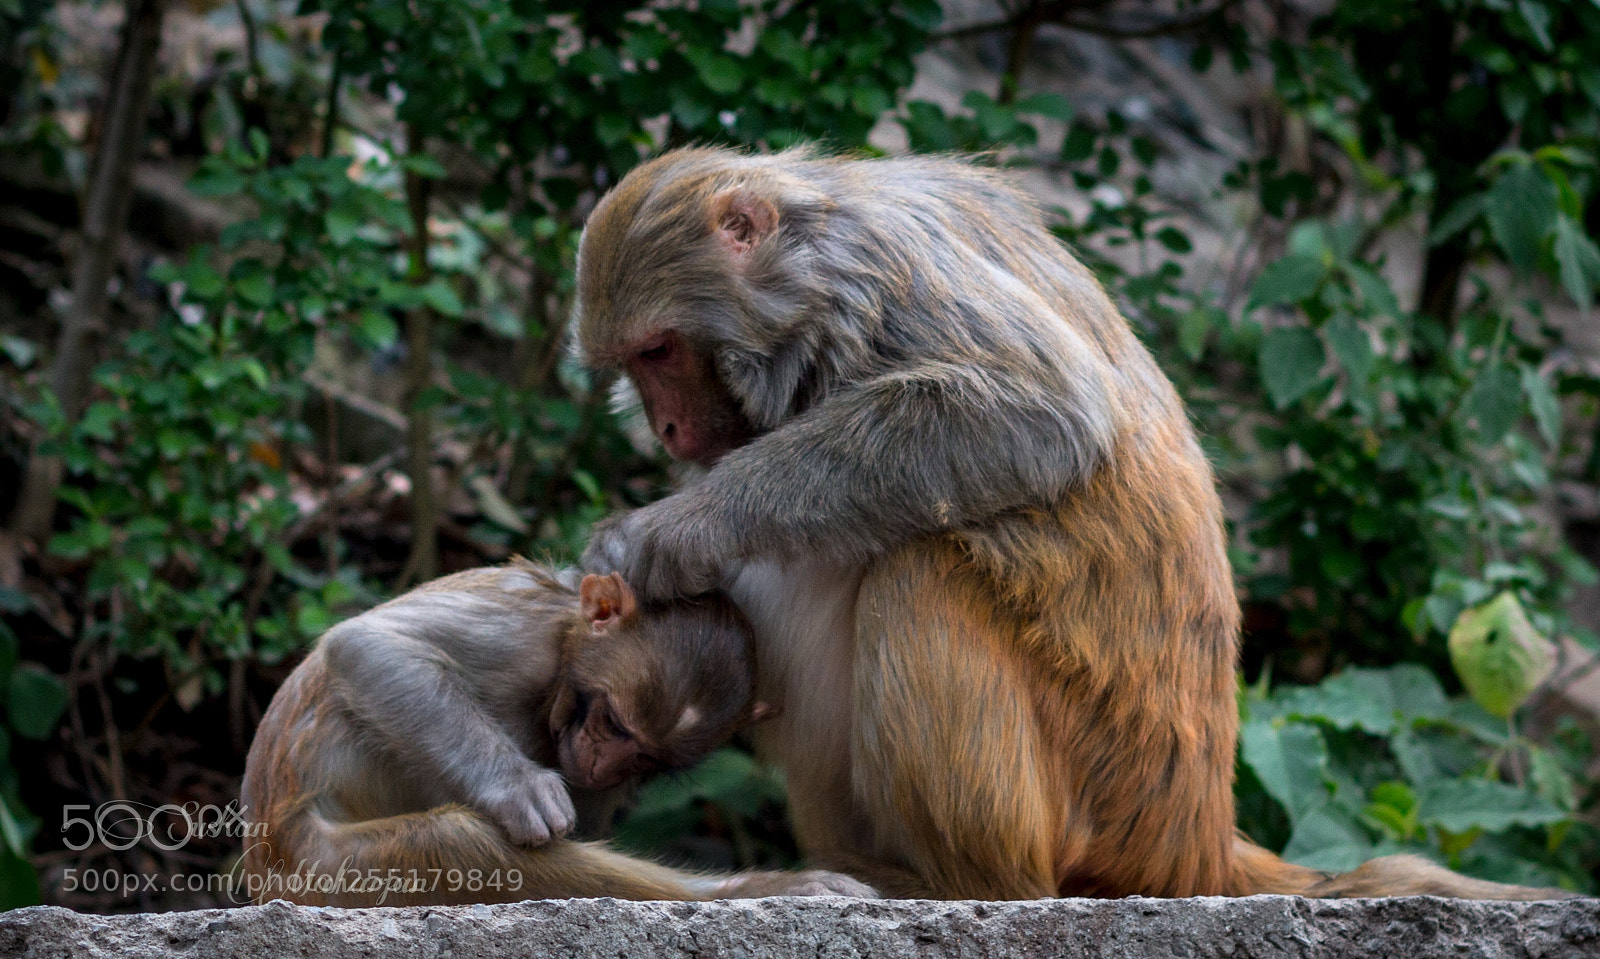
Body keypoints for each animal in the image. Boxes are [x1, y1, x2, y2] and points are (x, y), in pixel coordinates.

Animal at [239, 557, 875, 906]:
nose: (598, 766)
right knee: (455, 841)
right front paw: (520, 788)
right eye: (613, 721)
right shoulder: (523, 635)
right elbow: (370, 646)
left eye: (647, 761)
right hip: (323, 874)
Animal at [571, 145, 1575, 901]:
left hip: (1090, 808)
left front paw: (671, 532)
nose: (668, 430)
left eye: (658, 351)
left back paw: (962, 887)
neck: (810, 238)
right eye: (634, 362)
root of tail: (1197, 841)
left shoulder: (872, 282)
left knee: (917, 573)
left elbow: (1038, 411)